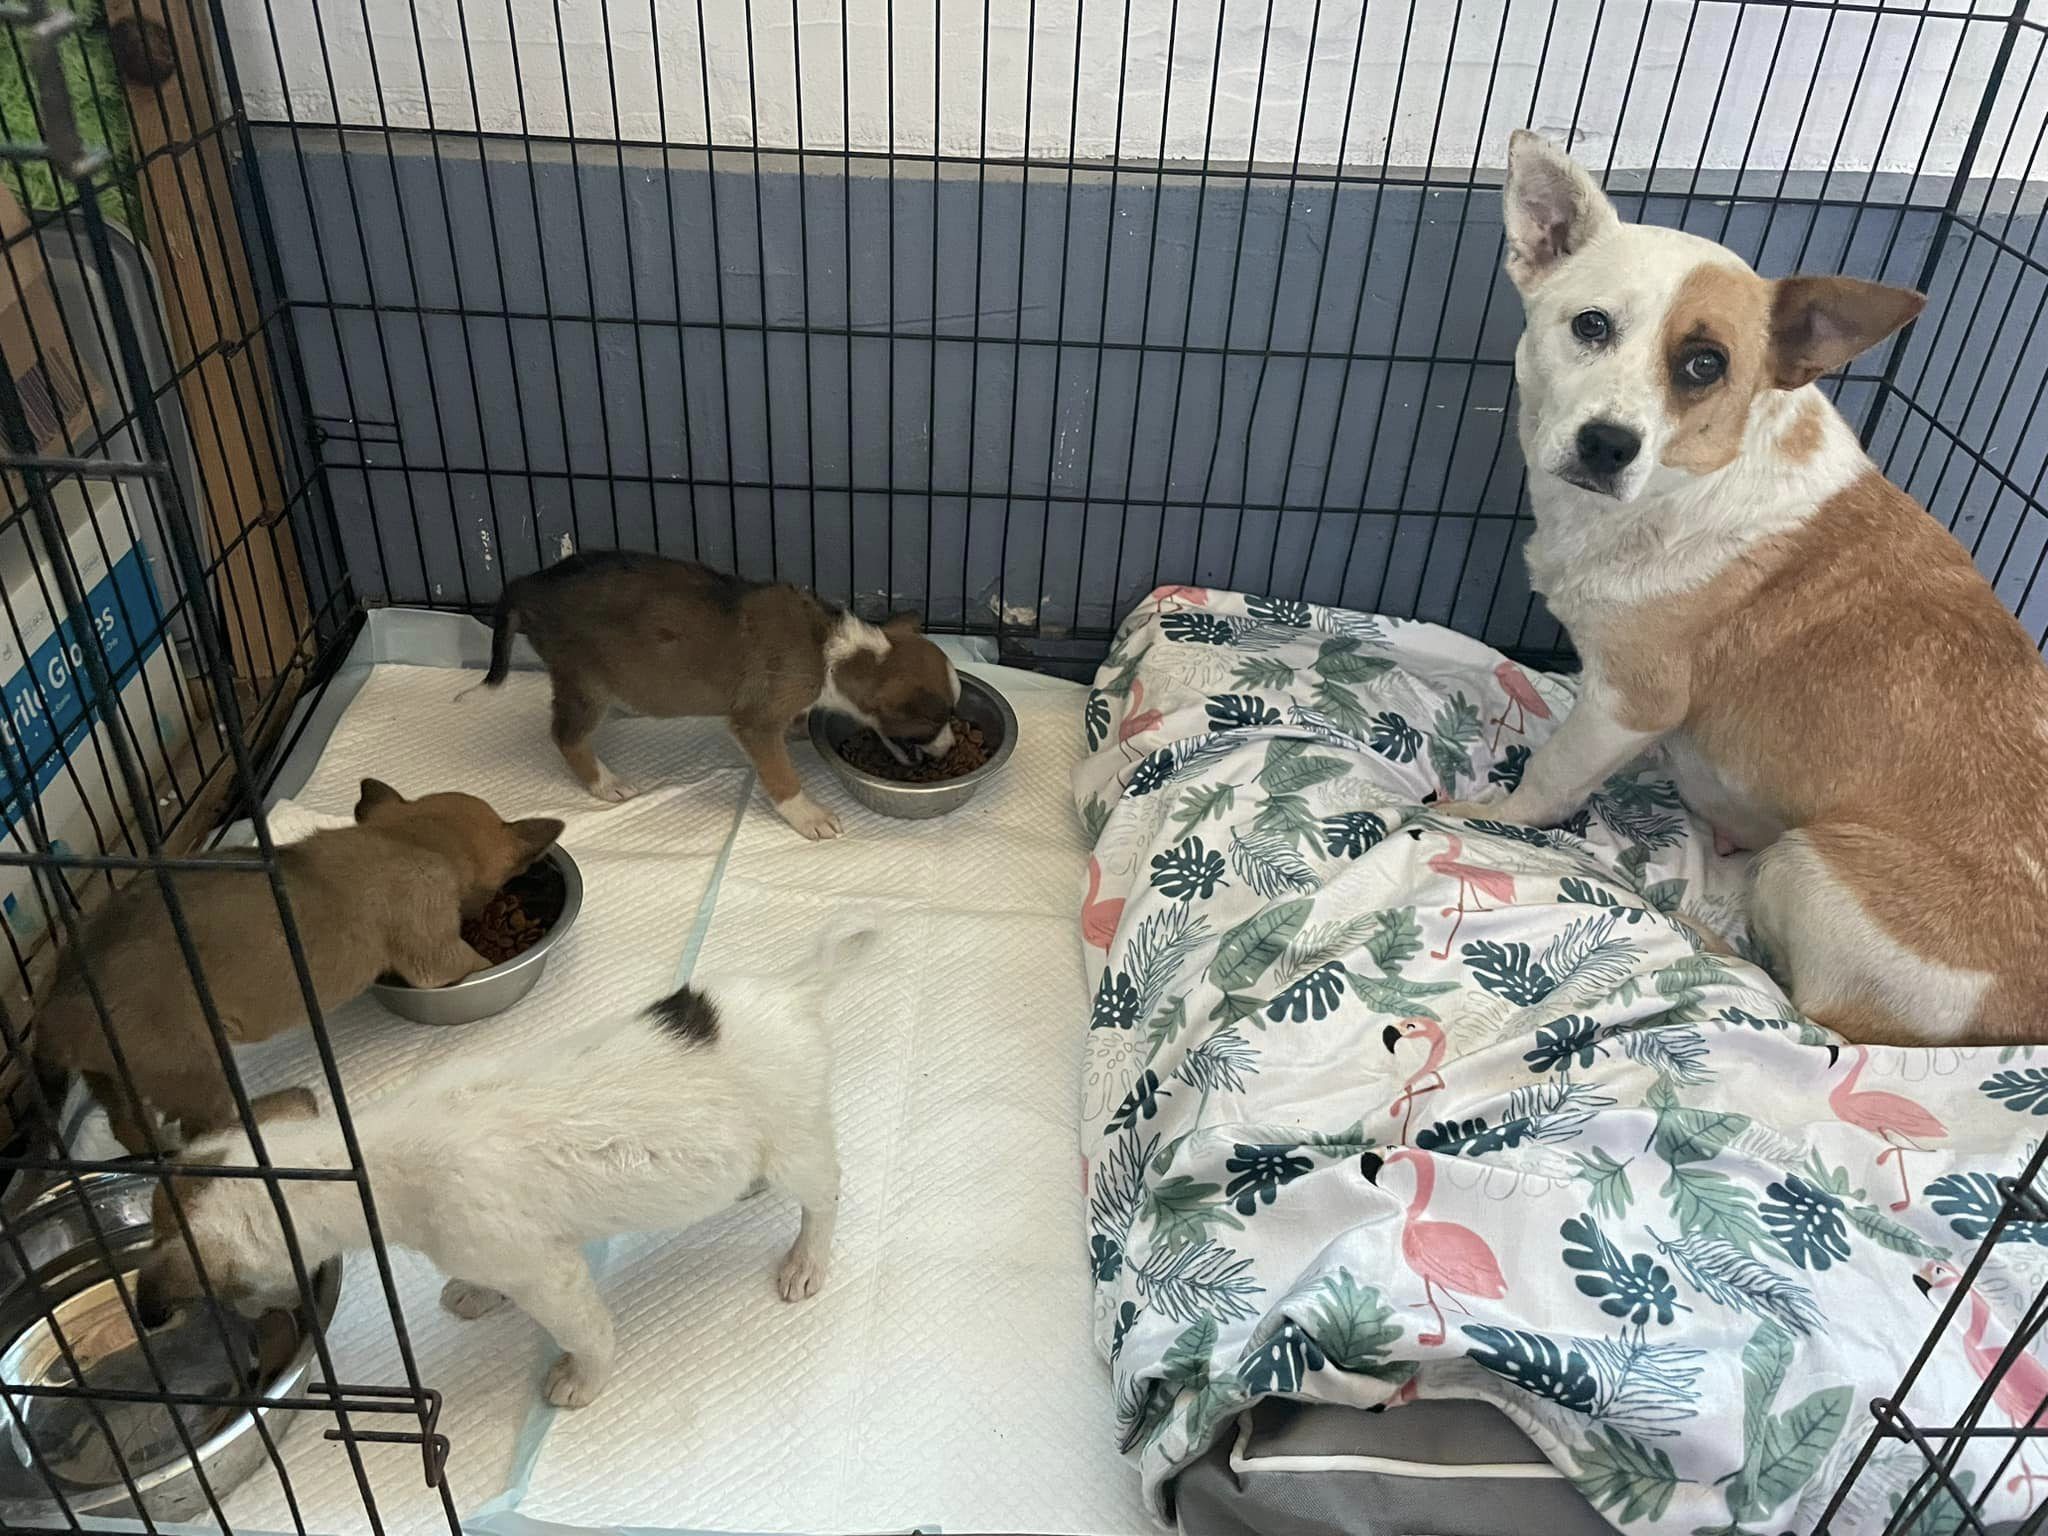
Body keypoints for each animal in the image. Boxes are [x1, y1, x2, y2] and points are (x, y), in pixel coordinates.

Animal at [37, 782, 569, 1155]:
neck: (407, 839)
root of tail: (56, 1016)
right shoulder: (436, 958)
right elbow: (473, 960)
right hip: (195, 1069)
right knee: (205, 1131)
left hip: (113, 1078)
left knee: (131, 1128)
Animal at [136, 925, 880, 1409]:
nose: (276, 1313)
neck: (362, 1163)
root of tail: (795, 991)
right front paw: (474, 1292)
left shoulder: (547, 1275)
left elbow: (588, 1333)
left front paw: (580, 1380)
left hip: (796, 1145)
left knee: (827, 1198)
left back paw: (805, 1261)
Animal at [479, 552, 958, 843]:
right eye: (936, 722)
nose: (952, 748)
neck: (833, 651)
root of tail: (526, 584)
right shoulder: (755, 724)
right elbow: (782, 777)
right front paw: (809, 816)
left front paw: (801, 727)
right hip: (586, 684)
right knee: (567, 736)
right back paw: (606, 783)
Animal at [1441, 132, 2048, 1056]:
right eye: (1591, 325)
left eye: (1705, 364)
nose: (1608, 445)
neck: (1691, 478)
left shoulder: (1631, 701)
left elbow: (1546, 781)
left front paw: (1491, 817)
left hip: (1808, 868)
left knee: (1804, 1008)